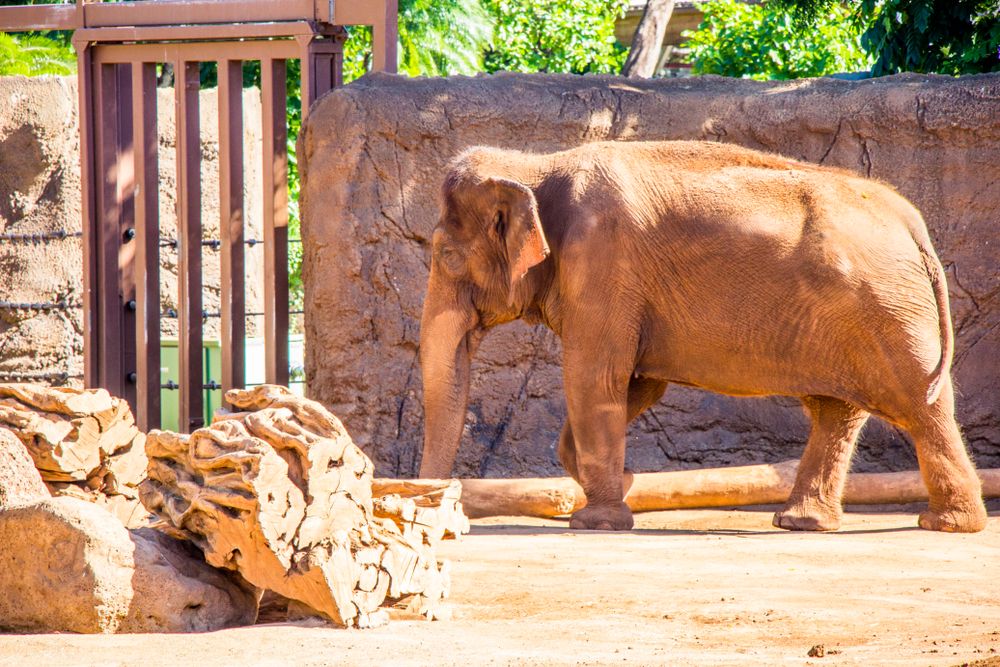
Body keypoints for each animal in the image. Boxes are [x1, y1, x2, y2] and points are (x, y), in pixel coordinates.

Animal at [417, 139, 988, 534]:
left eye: (446, 256)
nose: (449, 520)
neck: (536, 165)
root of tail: (911, 219)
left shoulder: (601, 264)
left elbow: (594, 378)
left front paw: (597, 522)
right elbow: (637, 383)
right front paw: (620, 487)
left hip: (887, 311)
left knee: (920, 406)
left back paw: (947, 526)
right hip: (857, 314)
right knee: (836, 411)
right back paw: (803, 524)